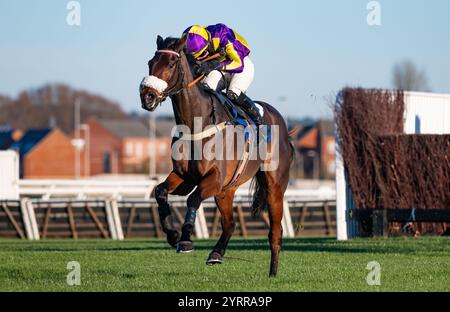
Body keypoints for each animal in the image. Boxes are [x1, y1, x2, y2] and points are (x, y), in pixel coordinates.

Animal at [141, 35, 296, 276]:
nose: (147, 96)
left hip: (274, 187)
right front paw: (172, 234)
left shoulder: (214, 178)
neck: (197, 123)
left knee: (275, 232)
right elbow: (160, 191)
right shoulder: (185, 177)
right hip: (227, 190)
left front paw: (185, 240)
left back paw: (272, 273)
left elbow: (193, 199)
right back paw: (216, 254)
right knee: (230, 224)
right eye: (150, 63)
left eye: (171, 64)